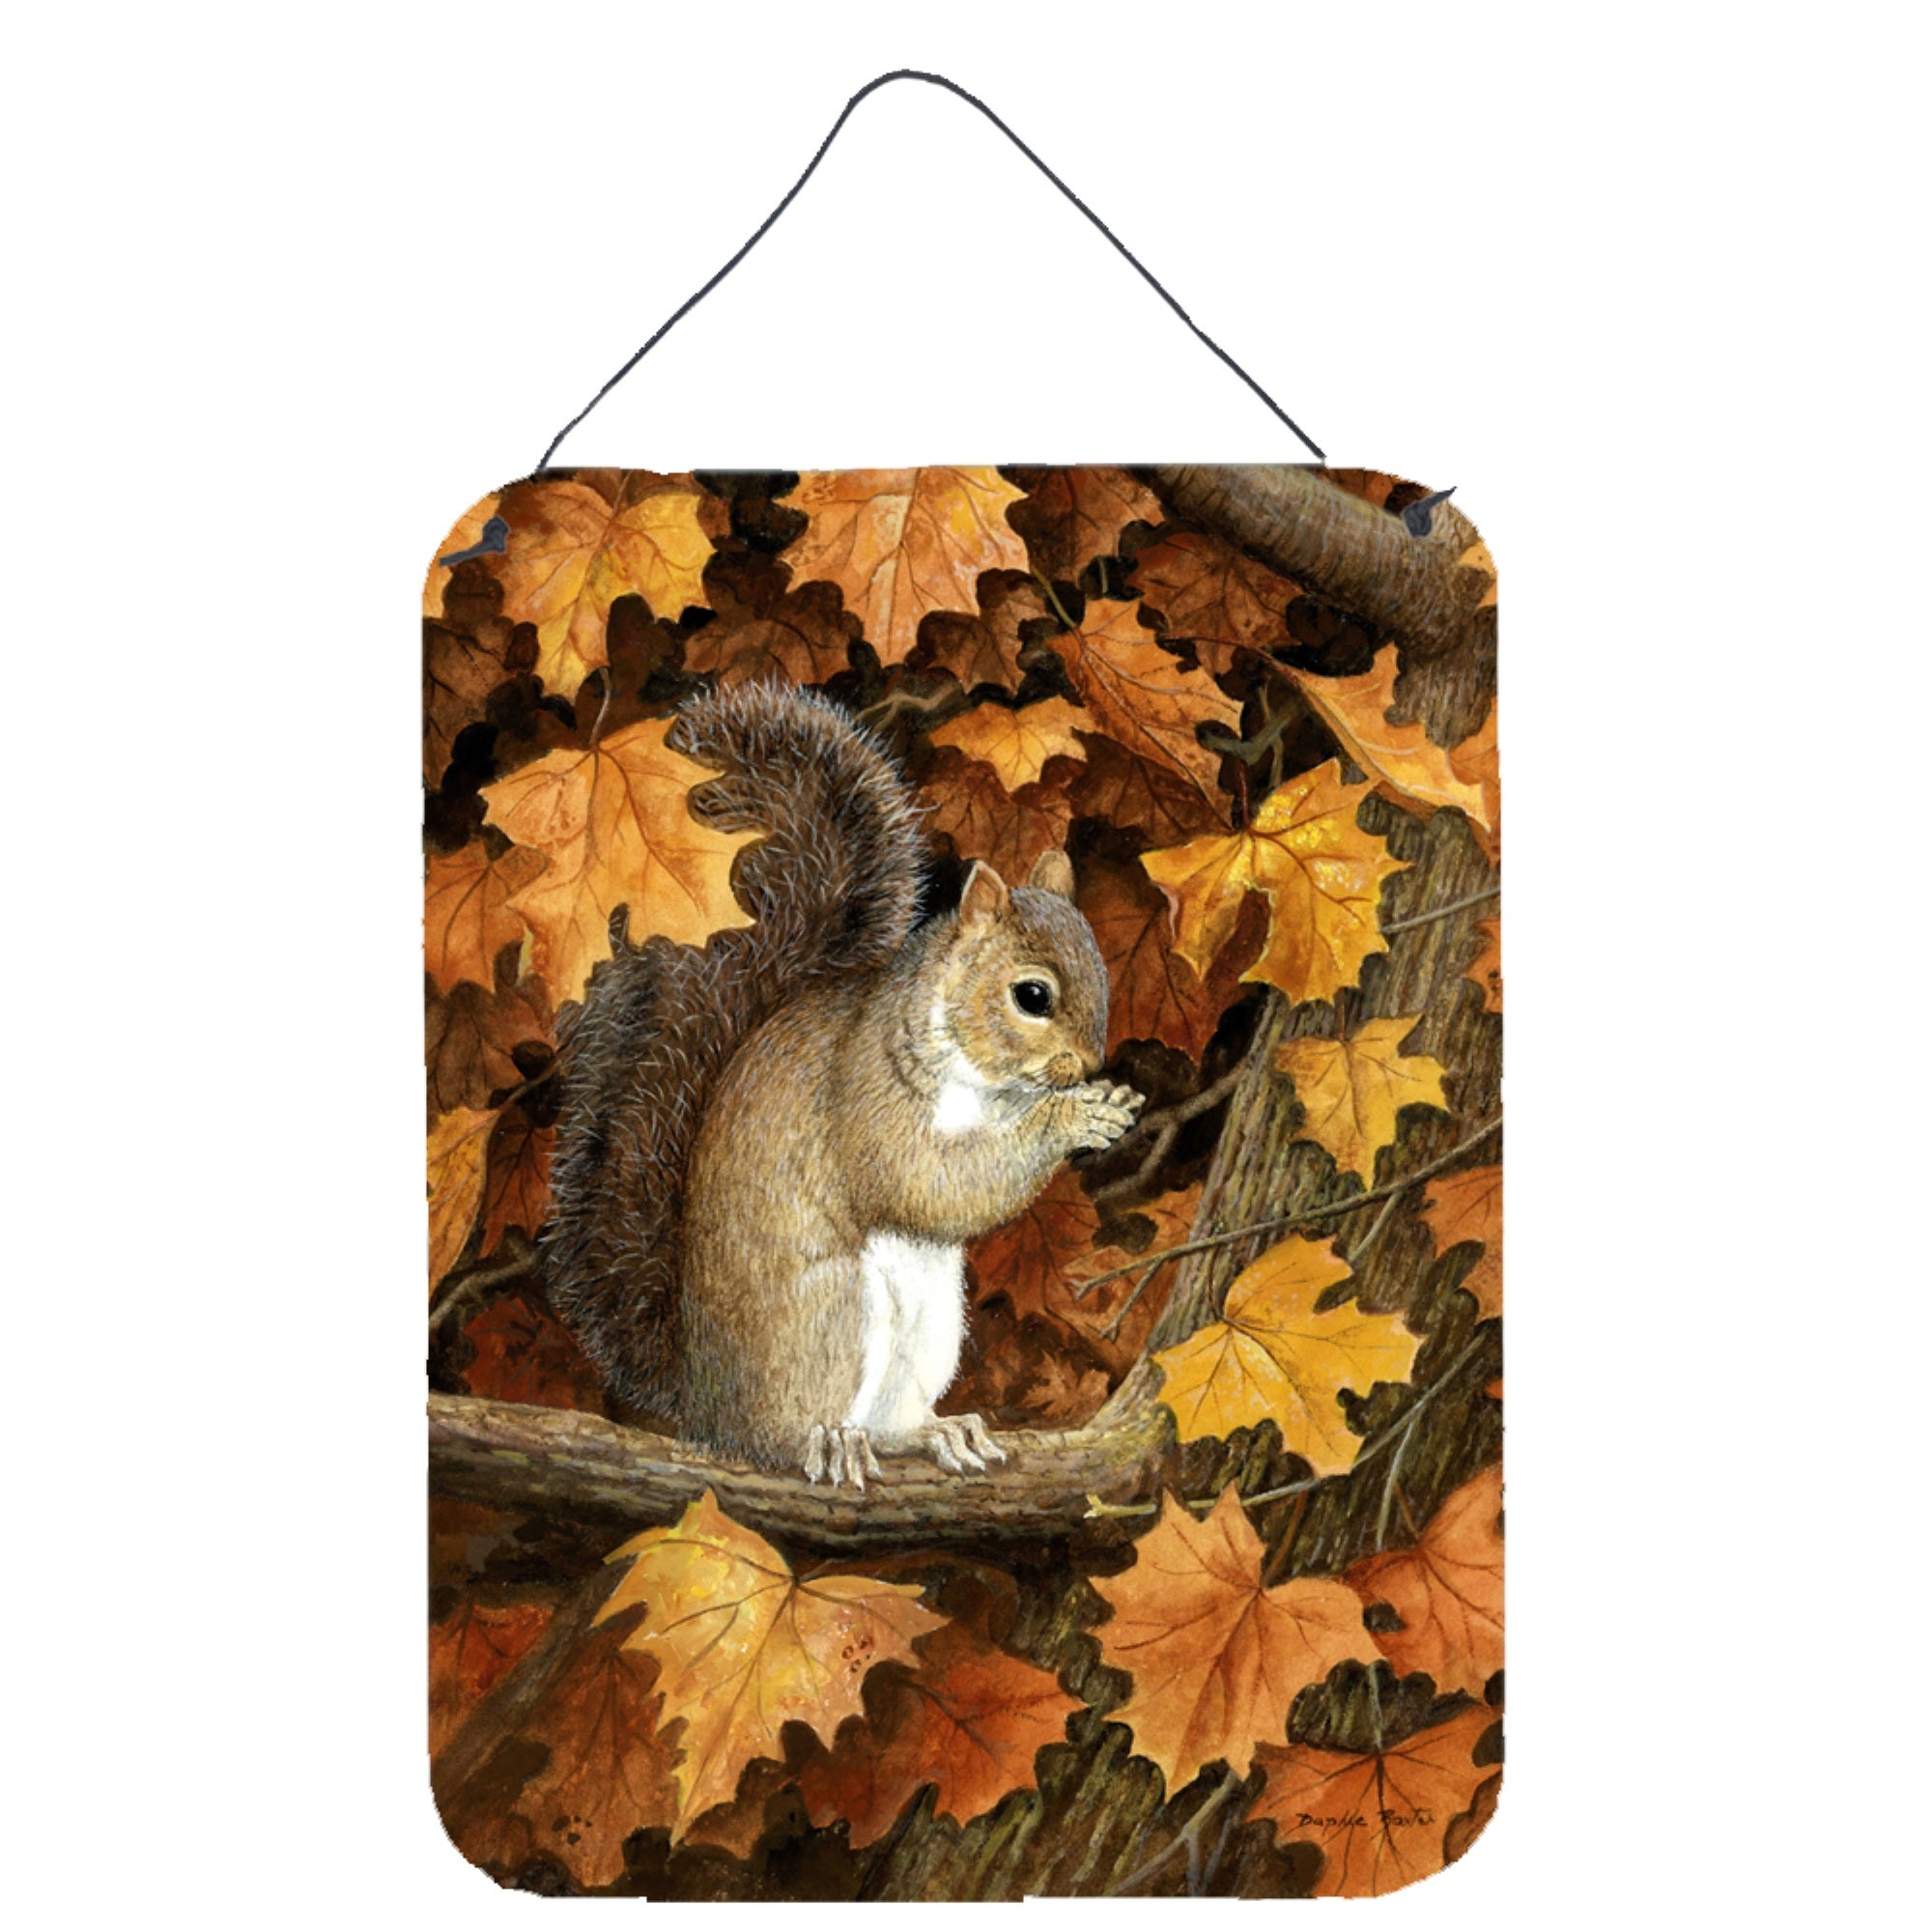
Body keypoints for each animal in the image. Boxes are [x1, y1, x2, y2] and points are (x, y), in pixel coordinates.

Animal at [542, 681, 1143, 1486]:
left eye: (1103, 971)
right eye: (1032, 995)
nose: (1085, 1065)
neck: (984, 1084)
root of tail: (704, 1404)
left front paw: (1107, 1106)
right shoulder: (867, 1095)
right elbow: (926, 1181)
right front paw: (1073, 1119)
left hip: (930, 1324)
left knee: (890, 1421)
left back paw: (937, 1432)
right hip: (825, 1314)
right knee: (782, 1431)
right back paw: (822, 1440)